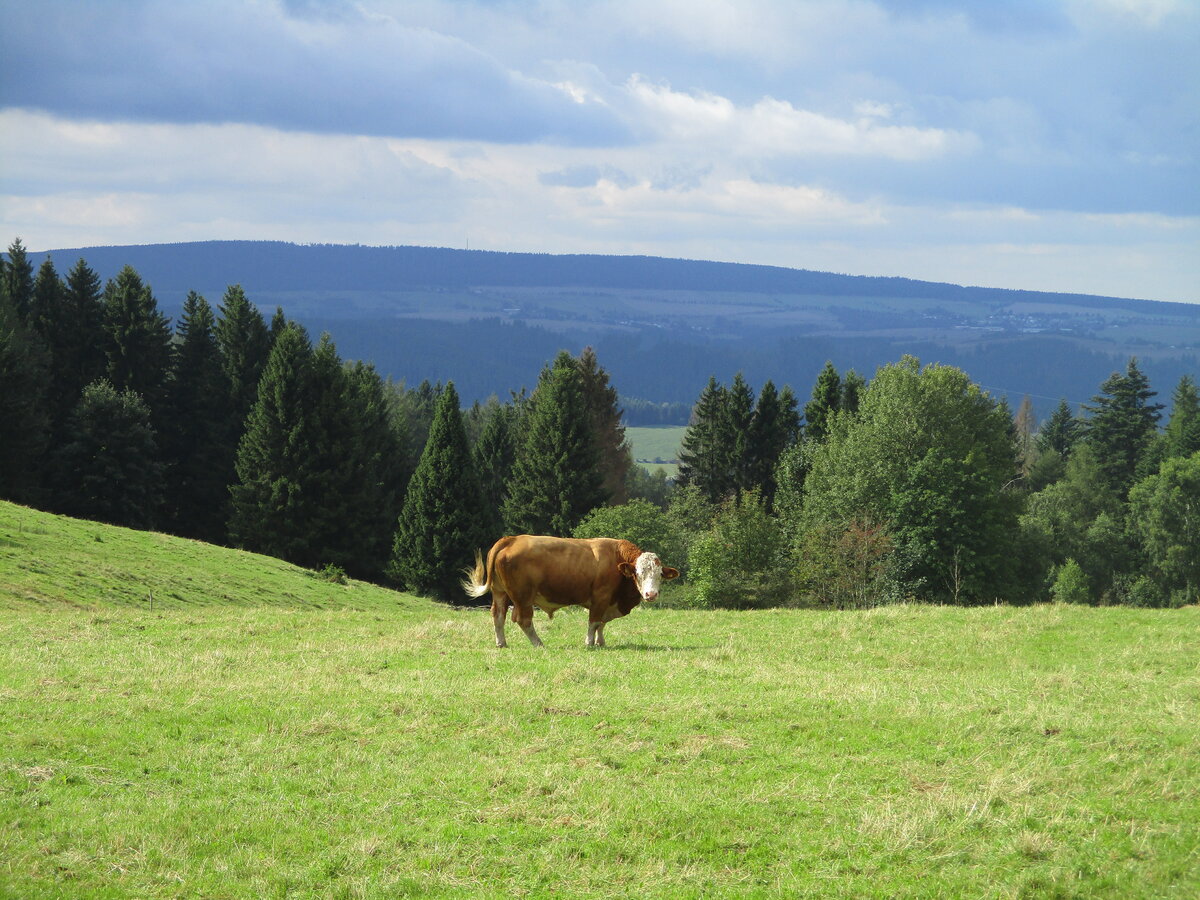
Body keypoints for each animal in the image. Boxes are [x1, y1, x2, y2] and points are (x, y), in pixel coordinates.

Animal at [460, 535, 681, 648]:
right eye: (638, 573)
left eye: (660, 575)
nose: (651, 595)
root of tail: (511, 539)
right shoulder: (600, 597)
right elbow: (594, 622)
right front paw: (590, 643)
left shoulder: (608, 602)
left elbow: (601, 624)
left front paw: (601, 642)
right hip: (523, 597)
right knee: (523, 620)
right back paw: (538, 643)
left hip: (500, 593)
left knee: (498, 616)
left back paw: (501, 643)